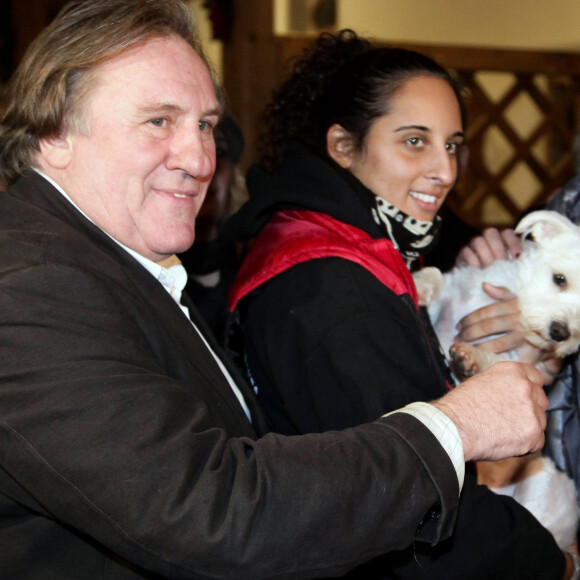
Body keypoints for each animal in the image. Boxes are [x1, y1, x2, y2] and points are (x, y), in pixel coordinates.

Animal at [414, 211, 580, 552]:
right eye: (560, 279)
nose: (561, 332)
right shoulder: (454, 291)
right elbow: (437, 275)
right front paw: (417, 281)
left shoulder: (517, 361)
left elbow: (494, 362)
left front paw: (471, 358)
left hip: (540, 492)